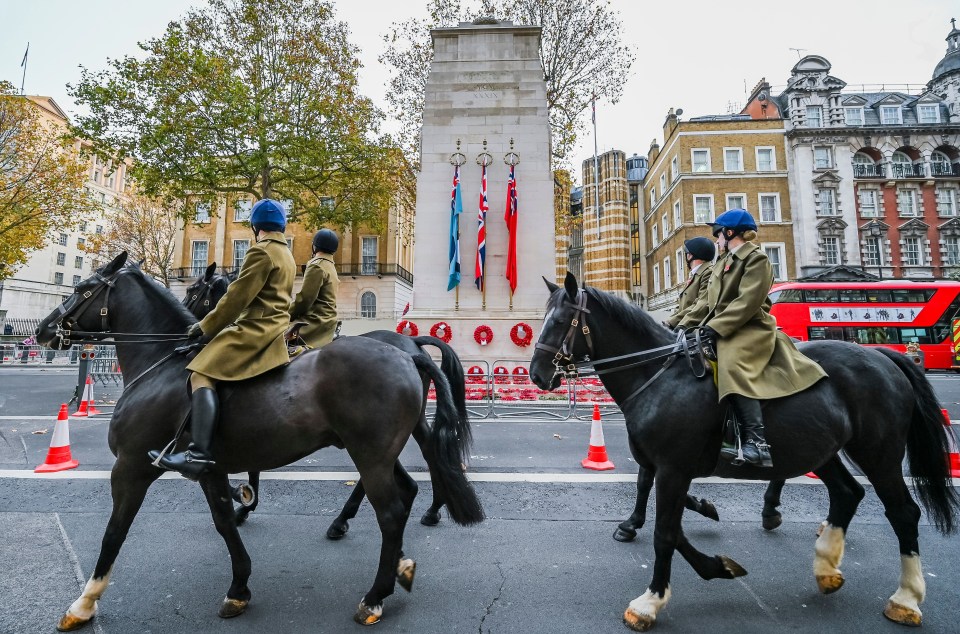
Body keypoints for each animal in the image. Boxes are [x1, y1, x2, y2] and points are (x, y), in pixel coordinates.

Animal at [182, 264, 470, 532]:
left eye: (192, 291)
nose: (189, 330)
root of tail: (412, 344)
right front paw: (245, 503)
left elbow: (254, 465)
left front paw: (245, 505)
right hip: (409, 417)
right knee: (428, 449)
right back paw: (432, 509)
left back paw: (346, 519)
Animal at [528, 270, 956, 628]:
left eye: (560, 321)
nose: (536, 374)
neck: (659, 374)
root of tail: (885, 355)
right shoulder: (665, 466)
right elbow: (667, 520)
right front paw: (717, 565)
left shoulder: (673, 468)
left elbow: (665, 532)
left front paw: (649, 602)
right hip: (821, 449)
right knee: (847, 493)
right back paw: (826, 567)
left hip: (878, 453)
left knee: (903, 513)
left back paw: (905, 599)